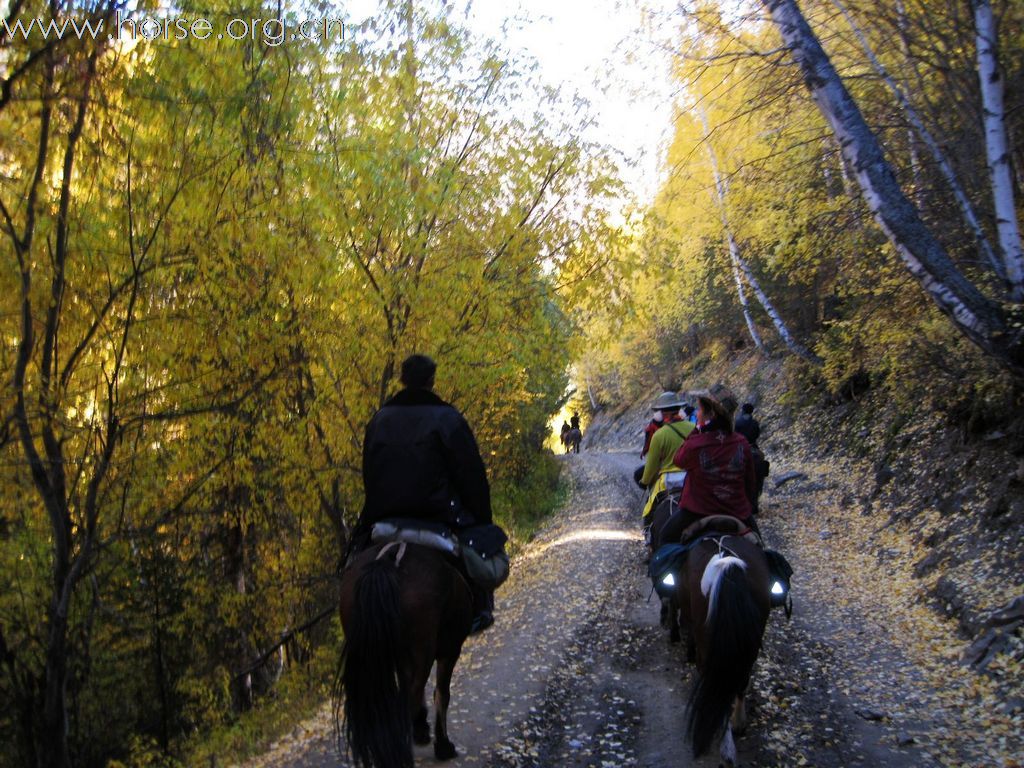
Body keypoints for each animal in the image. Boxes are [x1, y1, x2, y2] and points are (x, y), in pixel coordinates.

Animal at [333, 540, 473, 768]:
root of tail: (387, 560)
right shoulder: (450, 650)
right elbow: (442, 694)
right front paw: (443, 746)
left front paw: (421, 730)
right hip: (424, 652)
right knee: (410, 699)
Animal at [671, 532, 770, 765]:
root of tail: (728, 562)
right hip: (751, 640)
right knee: (739, 679)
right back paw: (739, 724)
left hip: (706, 639)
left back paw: (726, 749)